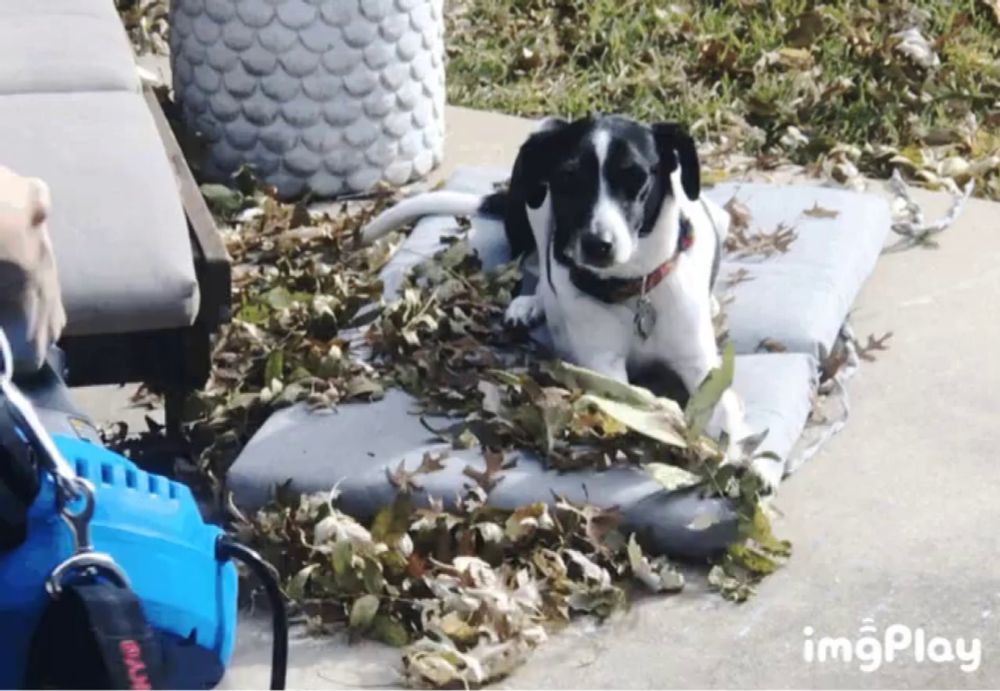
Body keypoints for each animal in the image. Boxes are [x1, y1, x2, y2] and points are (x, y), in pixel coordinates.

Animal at [364, 116, 752, 464]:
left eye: (637, 178)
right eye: (568, 177)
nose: (598, 245)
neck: (633, 290)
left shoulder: (700, 363)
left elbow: (722, 405)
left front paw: (740, 457)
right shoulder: (602, 365)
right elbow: (640, 398)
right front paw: (669, 417)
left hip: (718, 219)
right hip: (537, 197)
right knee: (533, 263)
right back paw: (530, 303)